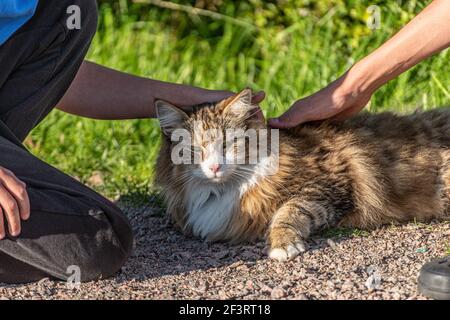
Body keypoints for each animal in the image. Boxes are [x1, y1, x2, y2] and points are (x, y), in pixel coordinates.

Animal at [156, 89, 450, 262]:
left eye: (229, 144)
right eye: (195, 149)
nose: (215, 168)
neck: (226, 191)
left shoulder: (327, 184)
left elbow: (288, 213)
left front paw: (283, 246)